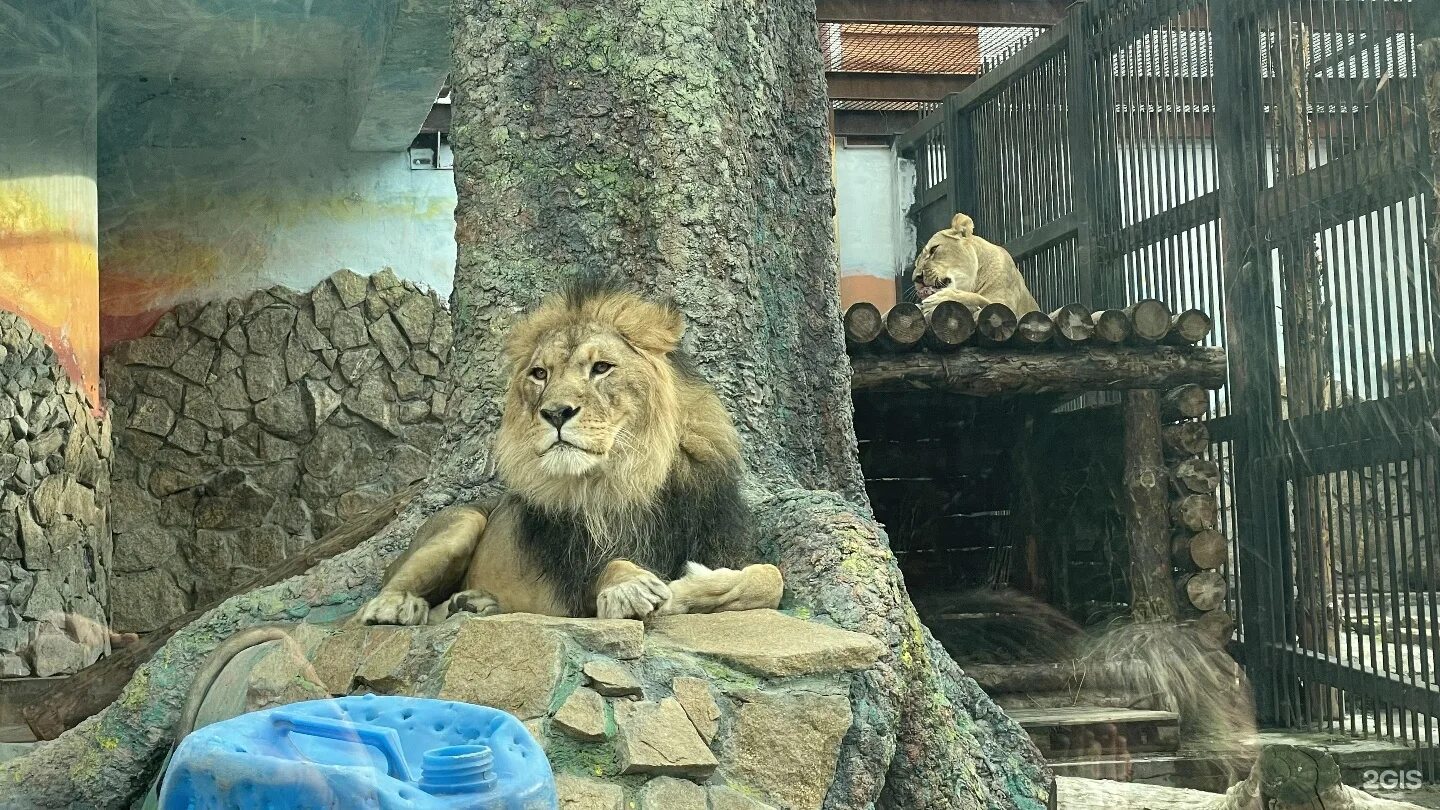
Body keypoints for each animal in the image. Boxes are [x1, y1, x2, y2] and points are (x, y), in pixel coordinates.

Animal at [360, 273, 789, 619]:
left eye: (601, 367)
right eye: (539, 374)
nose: (555, 413)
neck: (630, 476)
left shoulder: (722, 543)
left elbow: (771, 577)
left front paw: (690, 588)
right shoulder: (573, 580)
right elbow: (610, 568)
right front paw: (633, 586)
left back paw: (474, 602)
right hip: (461, 522)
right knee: (379, 600)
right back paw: (398, 606)